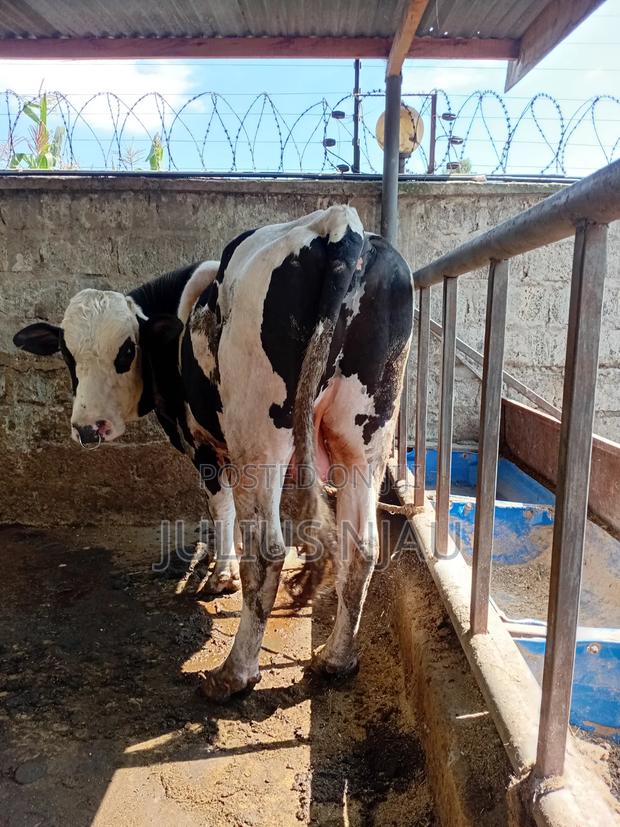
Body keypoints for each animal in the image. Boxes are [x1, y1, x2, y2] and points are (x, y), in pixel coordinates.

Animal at [14, 205, 413, 702]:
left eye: (127, 350)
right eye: (68, 355)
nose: (89, 428)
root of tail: (337, 224)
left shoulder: (203, 444)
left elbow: (221, 507)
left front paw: (221, 574)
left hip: (259, 439)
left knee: (267, 552)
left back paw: (234, 674)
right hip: (365, 441)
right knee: (360, 547)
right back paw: (336, 660)